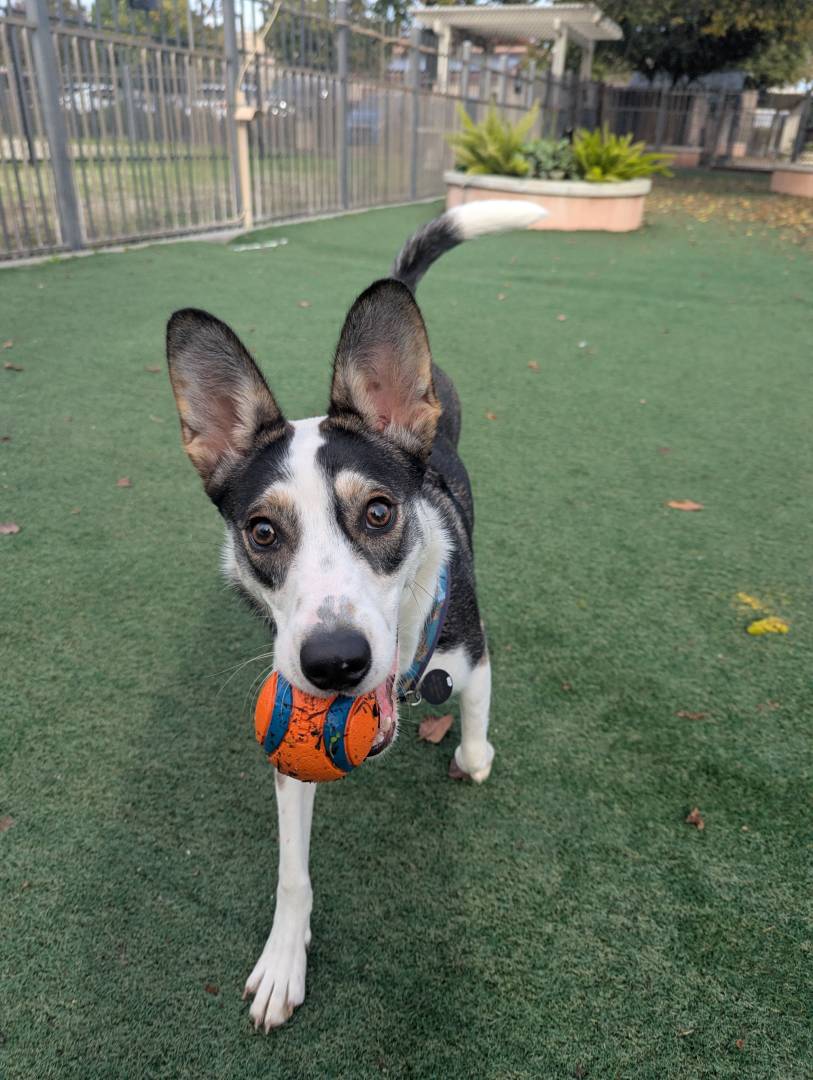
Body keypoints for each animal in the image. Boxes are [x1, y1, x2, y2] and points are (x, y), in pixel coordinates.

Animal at [165, 199, 545, 1030]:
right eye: (262, 532)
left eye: (377, 512)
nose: (334, 662)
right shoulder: (285, 741)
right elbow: (291, 872)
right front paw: (283, 960)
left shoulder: (471, 651)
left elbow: (475, 723)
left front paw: (472, 754)